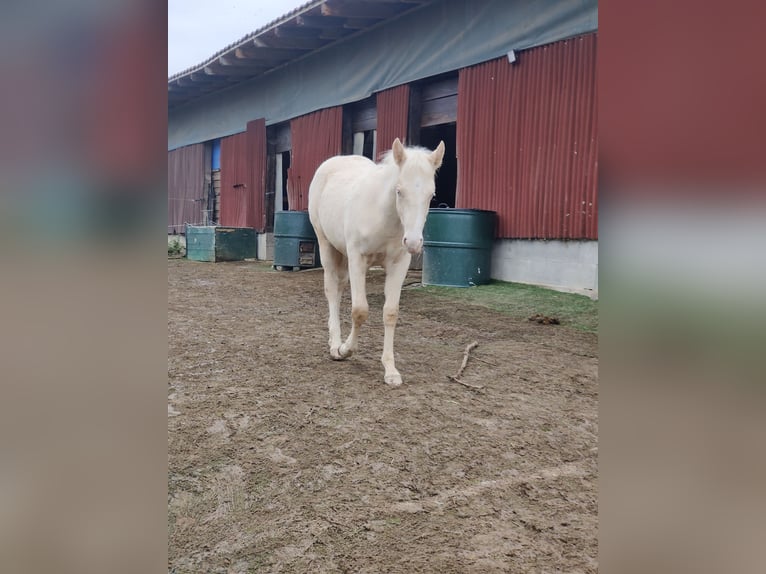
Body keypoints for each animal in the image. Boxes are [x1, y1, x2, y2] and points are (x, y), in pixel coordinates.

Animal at [308, 138, 448, 388]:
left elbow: (390, 313)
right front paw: (345, 350)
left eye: (431, 195)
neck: (384, 217)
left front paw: (391, 371)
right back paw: (335, 345)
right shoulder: (357, 258)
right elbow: (360, 310)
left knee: (340, 287)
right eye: (399, 191)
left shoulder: (399, 264)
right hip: (327, 246)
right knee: (332, 290)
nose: (414, 242)